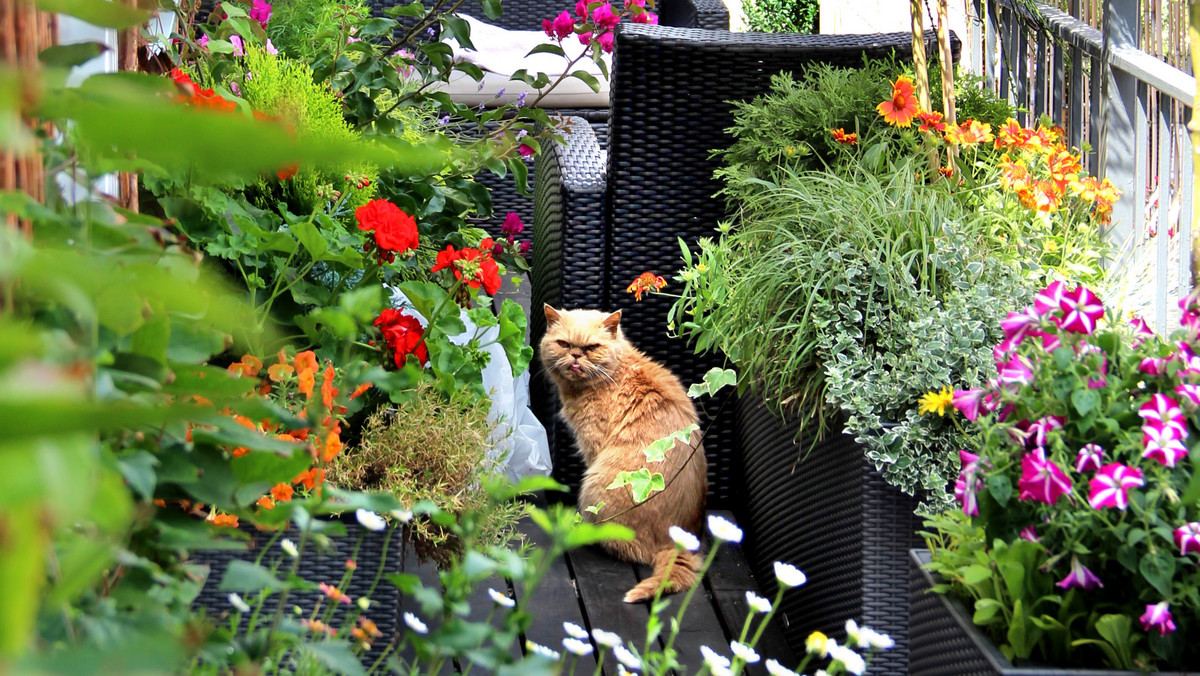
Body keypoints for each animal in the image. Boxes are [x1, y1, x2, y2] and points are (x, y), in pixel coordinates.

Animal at [542, 307, 705, 602]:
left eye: (591, 348)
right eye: (564, 344)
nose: (576, 356)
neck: (613, 374)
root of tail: (678, 540)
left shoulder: (592, 446)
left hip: (595, 484)